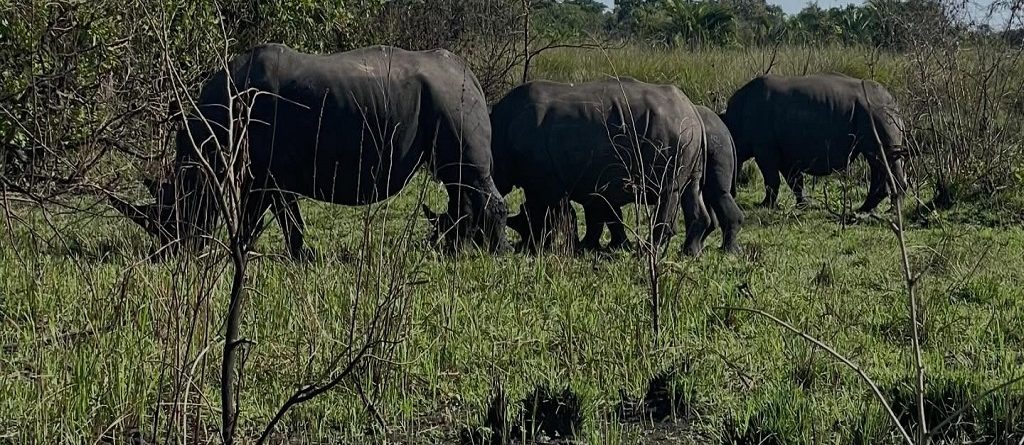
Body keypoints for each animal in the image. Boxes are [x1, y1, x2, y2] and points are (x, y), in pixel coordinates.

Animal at [111, 44, 509, 257]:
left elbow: (272, 218)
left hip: (453, 101)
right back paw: (454, 249)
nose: (167, 252)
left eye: (177, 207)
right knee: (458, 181)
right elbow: (276, 217)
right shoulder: (265, 174)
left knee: (467, 176)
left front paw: (279, 254)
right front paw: (286, 254)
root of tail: (470, 75)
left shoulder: (267, 173)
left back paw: (493, 251)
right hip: (447, 99)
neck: (208, 141)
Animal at [487, 78, 710, 256]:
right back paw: (690, 252)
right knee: (690, 189)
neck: (498, 137)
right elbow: (604, 216)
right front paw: (599, 246)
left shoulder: (547, 183)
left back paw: (645, 252)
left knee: (668, 190)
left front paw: (569, 246)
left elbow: (558, 213)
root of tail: (692, 110)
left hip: (674, 133)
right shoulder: (591, 184)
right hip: (684, 134)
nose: (522, 246)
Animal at [722, 73, 908, 212]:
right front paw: (803, 205)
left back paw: (890, 210)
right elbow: (794, 179)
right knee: (879, 161)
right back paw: (865, 209)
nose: (731, 193)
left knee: (882, 159)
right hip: (876, 114)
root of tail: (894, 103)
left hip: (877, 114)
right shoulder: (784, 151)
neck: (732, 124)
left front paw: (764, 206)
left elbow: (771, 179)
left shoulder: (764, 148)